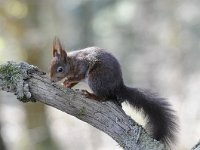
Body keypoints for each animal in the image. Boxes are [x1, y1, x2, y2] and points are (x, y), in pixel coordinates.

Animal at [49, 37, 177, 146]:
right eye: (50, 66)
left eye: (60, 69)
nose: (51, 79)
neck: (71, 62)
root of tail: (119, 87)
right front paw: (67, 84)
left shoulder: (82, 66)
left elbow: (78, 76)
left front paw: (67, 81)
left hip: (95, 79)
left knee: (104, 97)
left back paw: (91, 95)